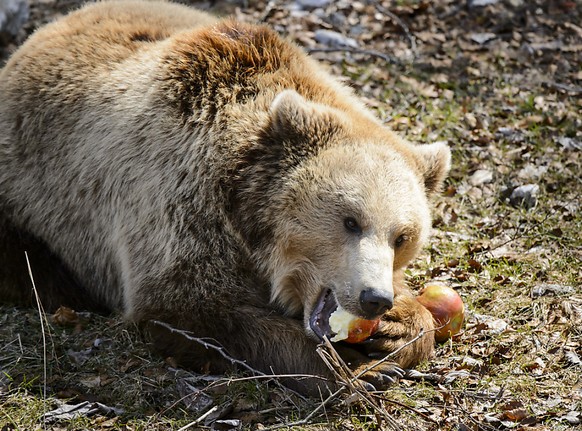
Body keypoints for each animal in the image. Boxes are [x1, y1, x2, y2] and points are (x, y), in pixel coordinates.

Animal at [0, 0, 452, 394]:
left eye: (402, 237)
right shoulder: (178, 200)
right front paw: (357, 372)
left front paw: (398, 329)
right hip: (30, 194)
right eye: (350, 220)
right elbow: (193, 310)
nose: (374, 299)